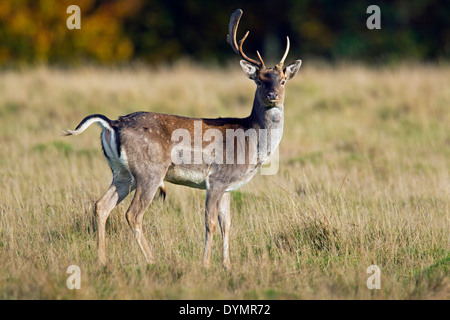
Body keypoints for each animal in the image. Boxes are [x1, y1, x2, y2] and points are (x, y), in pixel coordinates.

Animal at [64, 9, 302, 270]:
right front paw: (206, 264)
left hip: (122, 173)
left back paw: (102, 261)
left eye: (282, 80)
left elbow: (227, 224)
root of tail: (112, 124)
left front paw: (227, 265)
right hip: (150, 171)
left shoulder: (229, 186)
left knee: (101, 205)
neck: (251, 142)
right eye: (259, 80)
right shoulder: (216, 178)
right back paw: (152, 260)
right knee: (133, 214)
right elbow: (210, 223)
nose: (272, 95)